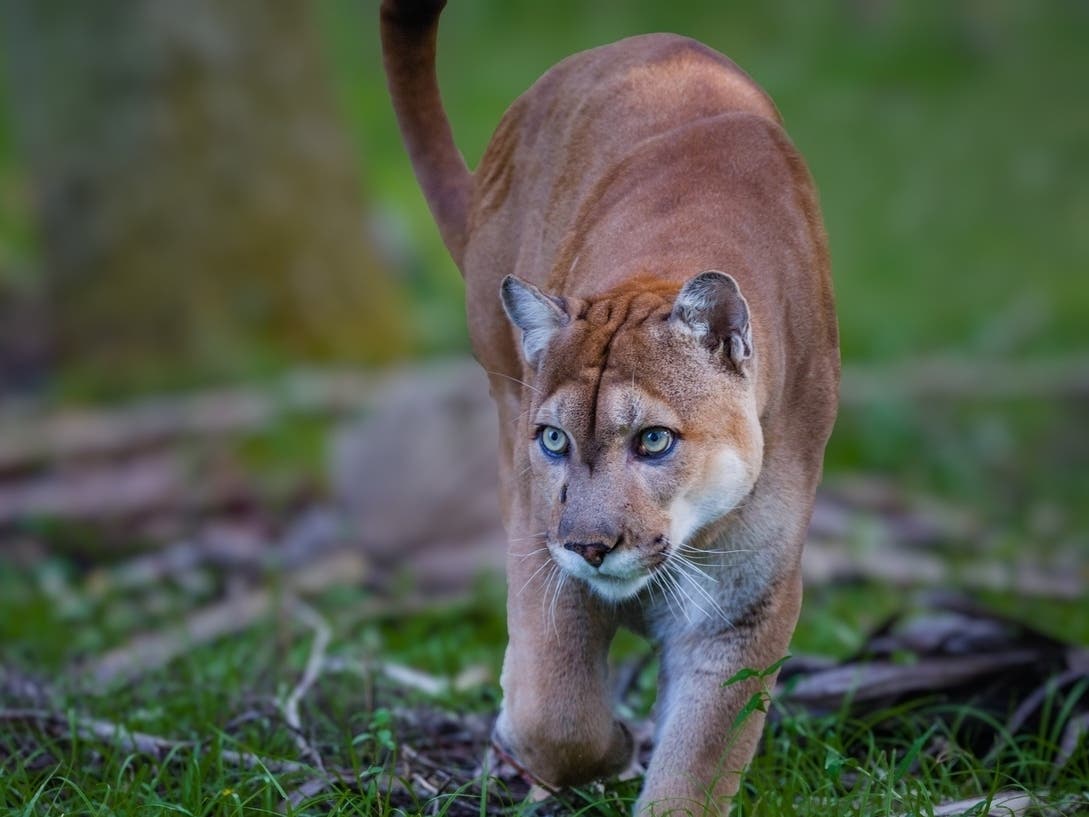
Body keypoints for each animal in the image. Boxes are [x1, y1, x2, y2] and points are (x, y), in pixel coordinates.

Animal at [380, 2, 839, 813]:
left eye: (653, 440)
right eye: (554, 440)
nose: (592, 546)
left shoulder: (742, 605)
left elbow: (698, 762)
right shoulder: (546, 552)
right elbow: (555, 710)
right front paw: (611, 747)